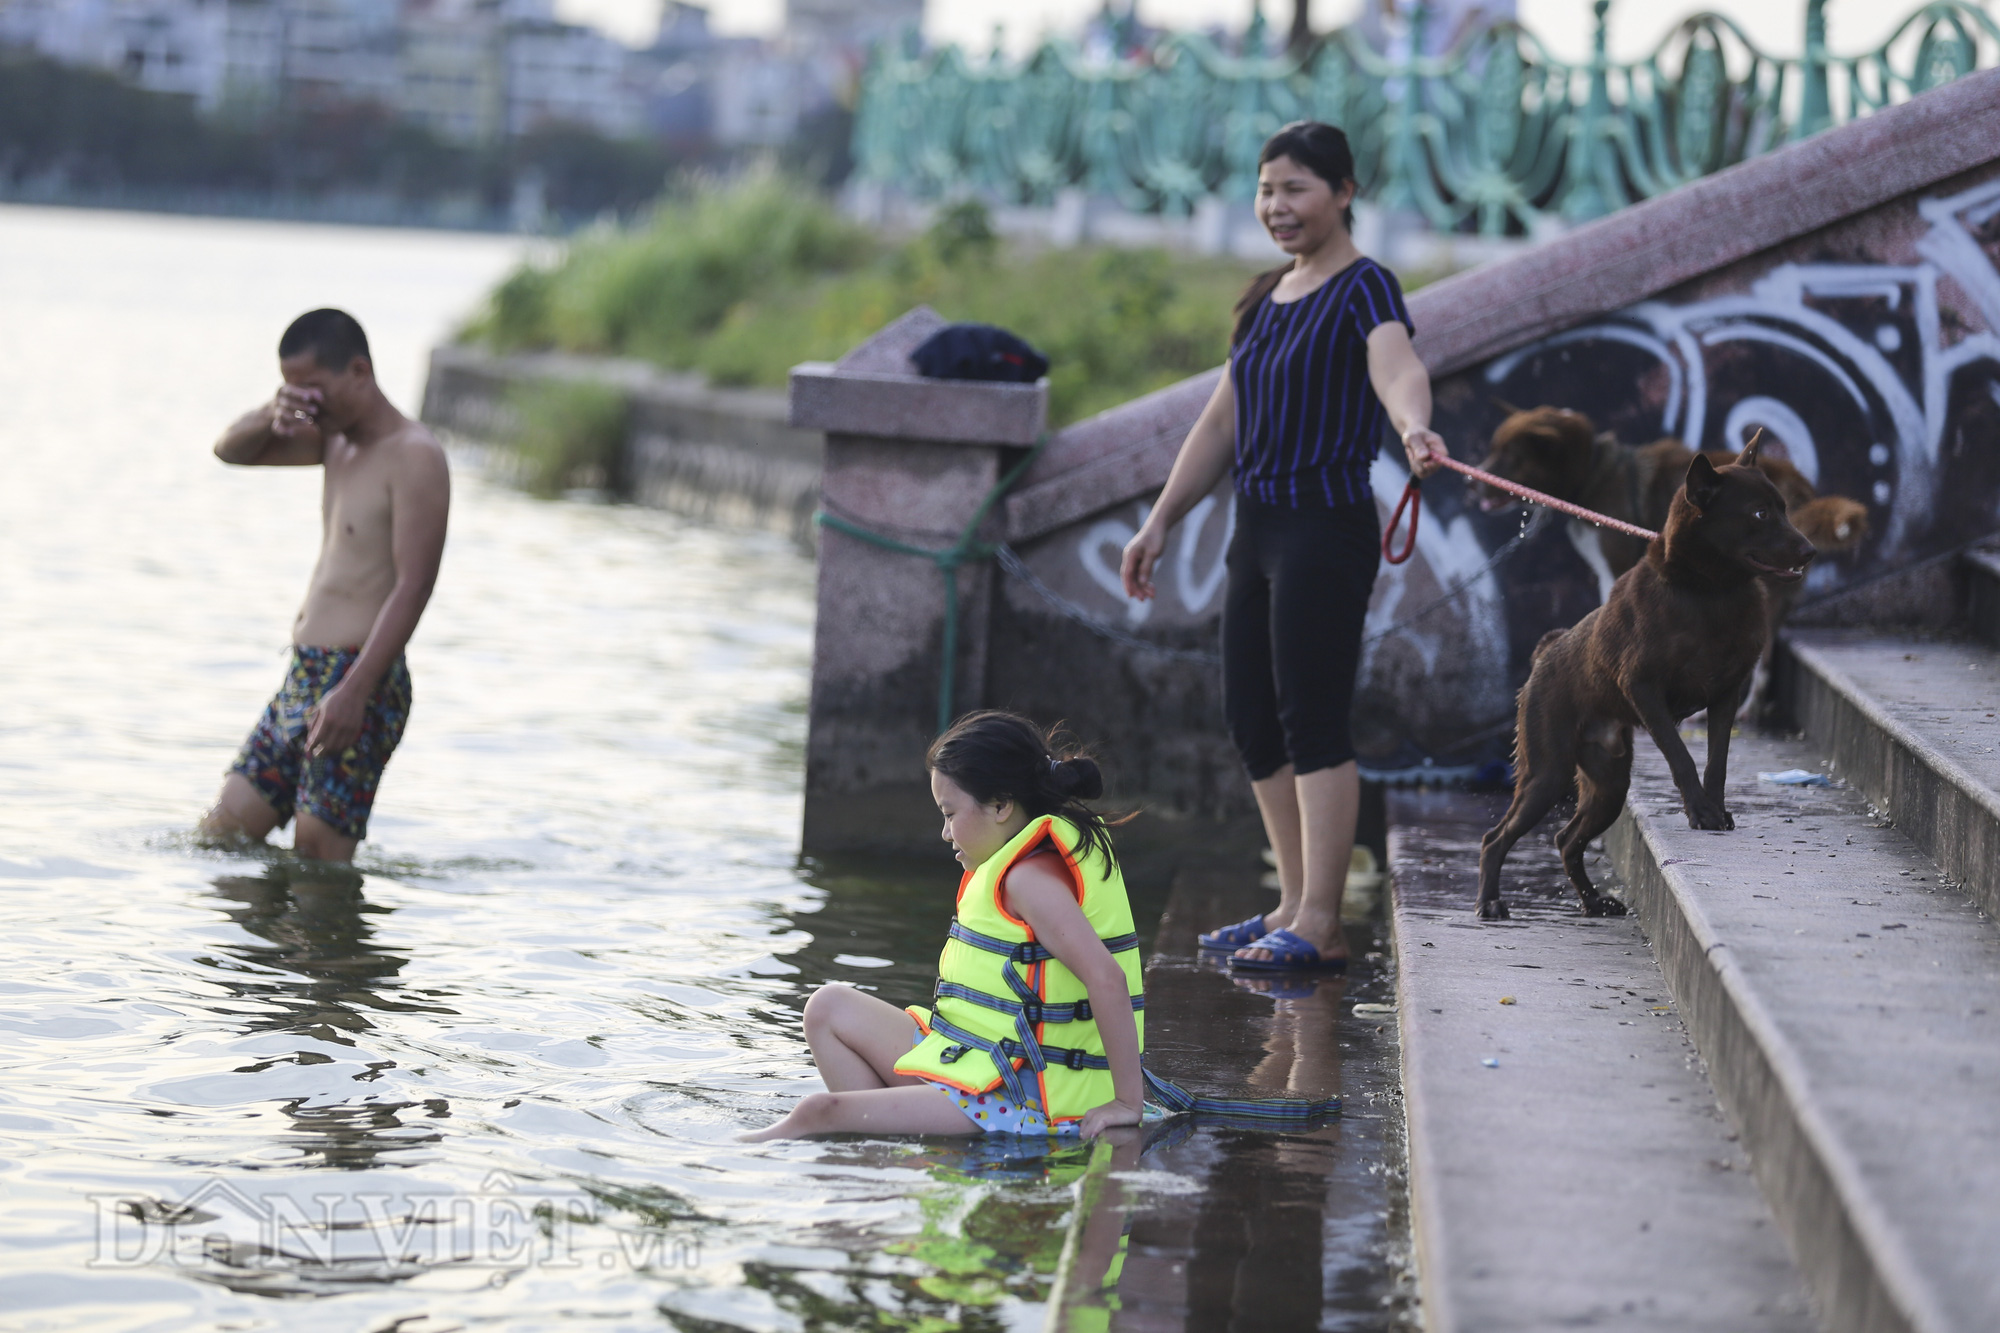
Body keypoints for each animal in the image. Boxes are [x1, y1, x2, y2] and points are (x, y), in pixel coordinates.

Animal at [1472, 434, 1816, 912]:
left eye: (1783, 507)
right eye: (1760, 513)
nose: (1810, 551)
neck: (1709, 591)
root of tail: (1547, 650)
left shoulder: (1726, 694)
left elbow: (1718, 761)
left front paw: (1715, 808)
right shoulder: (1644, 690)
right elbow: (1681, 755)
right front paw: (1700, 811)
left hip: (1609, 784)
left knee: (1565, 839)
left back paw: (1595, 902)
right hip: (1548, 772)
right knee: (1495, 837)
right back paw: (1490, 902)